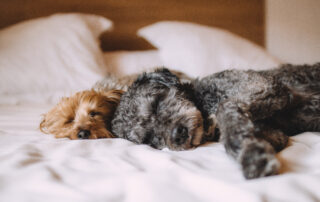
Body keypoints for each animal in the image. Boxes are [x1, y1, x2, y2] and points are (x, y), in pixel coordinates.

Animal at [112, 64, 320, 179]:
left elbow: (225, 107)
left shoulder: (265, 85)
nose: (177, 135)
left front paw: (252, 157)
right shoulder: (277, 133)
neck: (204, 99)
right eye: (149, 139)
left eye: (156, 103)